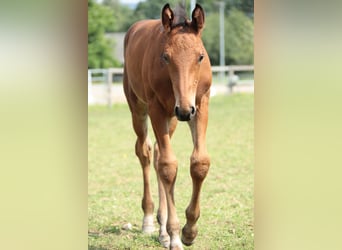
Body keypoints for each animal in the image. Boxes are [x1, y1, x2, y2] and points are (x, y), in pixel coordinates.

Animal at [123, 2, 211, 249]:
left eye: (200, 56)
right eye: (165, 56)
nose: (184, 111)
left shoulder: (200, 104)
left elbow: (199, 162)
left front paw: (189, 231)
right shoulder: (157, 109)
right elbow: (168, 166)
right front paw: (176, 235)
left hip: (171, 119)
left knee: (157, 153)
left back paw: (162, 230)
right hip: (140, 108)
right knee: (145, 152)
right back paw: (150, 220)